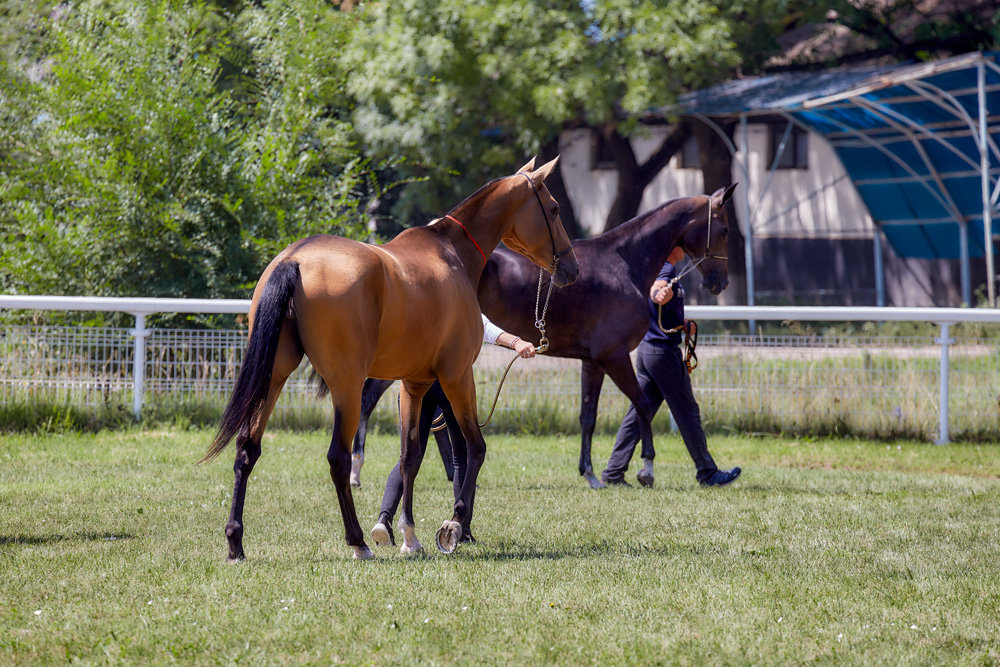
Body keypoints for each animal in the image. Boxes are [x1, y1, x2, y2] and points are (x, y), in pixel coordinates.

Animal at [201, 157, 580, 560]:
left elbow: (409, 458)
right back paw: (358, 542)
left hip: (274, 376)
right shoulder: (457, 376)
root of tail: (295, 260)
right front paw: (453, 525)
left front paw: (409, 536)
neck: (450, 252)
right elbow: (475, 448)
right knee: (339, 458)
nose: (572, 268)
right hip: (348, 386)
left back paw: (236, 542)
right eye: (554, 208)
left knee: (247, 449)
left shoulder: (414, 384)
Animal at [352, 185, 736, 488]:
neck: (622, 264)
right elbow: (641, 405)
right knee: (370, 396)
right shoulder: (614, 356)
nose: (721, 282)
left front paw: (591, 474)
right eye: (724, 229)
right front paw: (646, 469)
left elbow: (588, 417)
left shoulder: (593, 362)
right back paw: (357, 468)